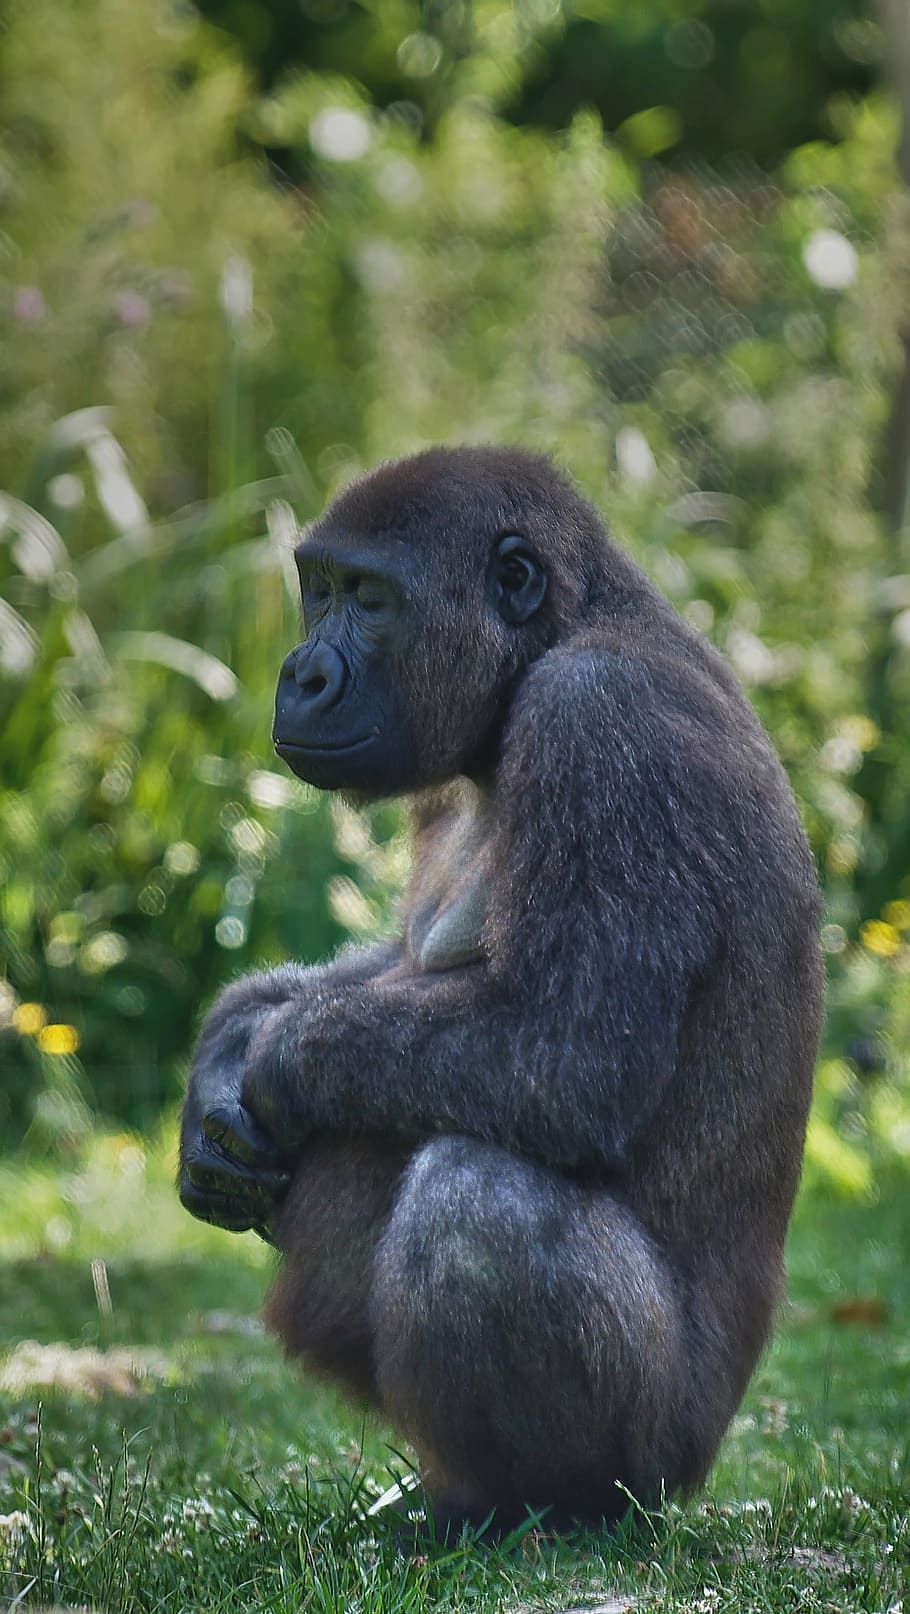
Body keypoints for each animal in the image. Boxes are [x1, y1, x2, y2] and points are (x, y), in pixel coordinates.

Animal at [179, 445, 823, 1536]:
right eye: (319, 591)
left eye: (371, 598)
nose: (300, 673)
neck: (565, 629)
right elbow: (391, 965)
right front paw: (227, 1046)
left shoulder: (601, 719)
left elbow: (566, 1057)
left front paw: (270, 1061)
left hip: (672, 1453)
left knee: (476, 1200)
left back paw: (542, 1509)